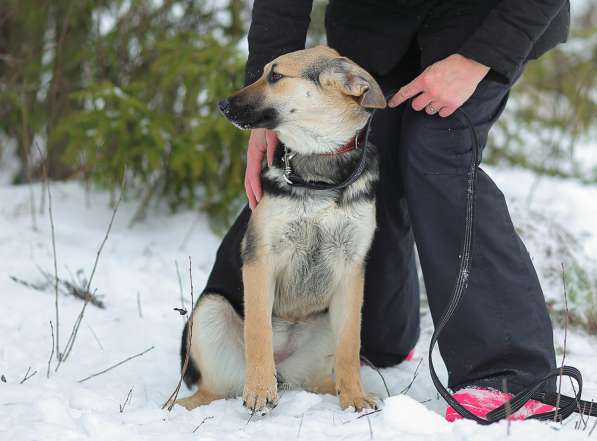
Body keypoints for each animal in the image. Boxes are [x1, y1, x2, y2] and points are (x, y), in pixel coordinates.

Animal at [175, 44, 384, 412]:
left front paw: (355, 397)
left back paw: (335, 391)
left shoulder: (351, 269)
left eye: (275, 76)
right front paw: (260, 390)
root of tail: (284, 369)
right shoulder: (262, 259)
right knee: (211, 391)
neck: (320, 175)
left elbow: (349, 346)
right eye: (261, 72)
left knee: (320, 377)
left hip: (322, 332)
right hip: (210, 310)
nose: (222, 104)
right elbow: (258, 331)